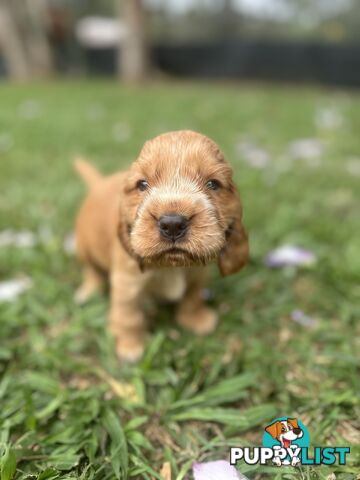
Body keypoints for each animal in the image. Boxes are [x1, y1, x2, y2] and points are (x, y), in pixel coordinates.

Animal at [73, 130, 248, 360]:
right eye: (142, 184)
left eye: (213, 184)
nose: (172, 224)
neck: (170, 265)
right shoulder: (126, 282)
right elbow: (128, 315)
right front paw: (130, 345)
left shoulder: (199, 272)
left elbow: (193, 294)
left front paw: (195, 319)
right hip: (83, 248)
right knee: (90, 270)